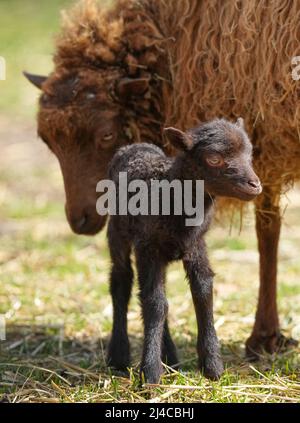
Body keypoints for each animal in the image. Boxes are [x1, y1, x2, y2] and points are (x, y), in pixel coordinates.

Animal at [106, 117, 262, 382]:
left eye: (249, 155)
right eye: (213, 158)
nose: (255, 185)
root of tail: (134, 145)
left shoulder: (196, 246)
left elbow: (202, 294)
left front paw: (213, 367)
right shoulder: (147, 248)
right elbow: (155, 303)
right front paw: (150, 373)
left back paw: (170, 358)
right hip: (118, 235)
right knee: (122, 281)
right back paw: (118, 357)